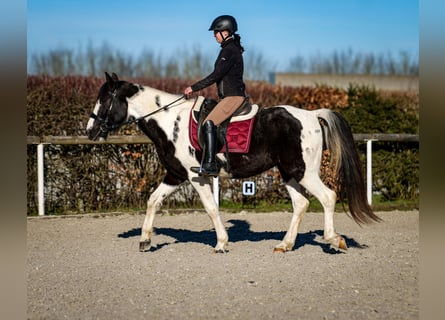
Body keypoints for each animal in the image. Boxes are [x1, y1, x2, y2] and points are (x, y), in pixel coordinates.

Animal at [87, 72, 382, 252]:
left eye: (104, 99)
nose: (90, 131)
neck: (170, 121)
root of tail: (311, 115)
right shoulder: (176, 174)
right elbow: (153, 200)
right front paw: (145, 240)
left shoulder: (196, 176)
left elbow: (210, 208)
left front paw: (221, 243)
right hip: (289, 172)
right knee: (301, 204)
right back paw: (284, 245)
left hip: (304, 171)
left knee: (328, 197)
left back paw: (334, 240)